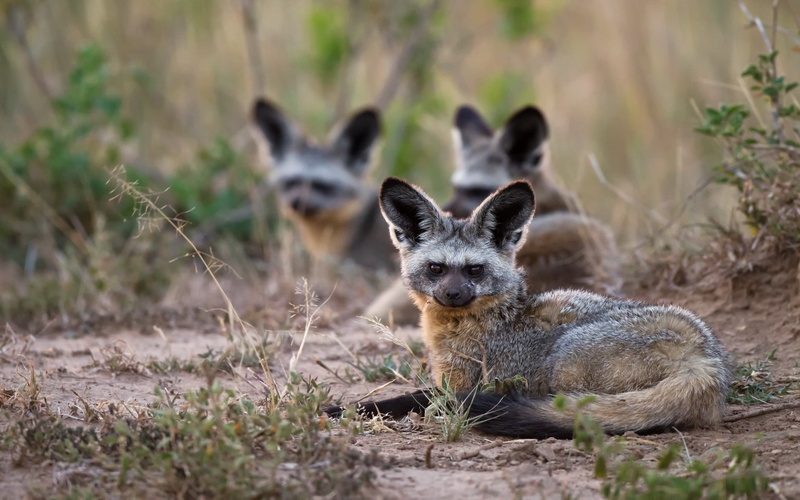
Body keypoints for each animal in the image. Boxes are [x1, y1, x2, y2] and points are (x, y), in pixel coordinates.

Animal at [325, 178, 730, 439]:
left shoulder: (466, 384)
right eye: (436, 269)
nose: (453, 294)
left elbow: (410, 398)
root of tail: (703, 358)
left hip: (564, 361)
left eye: (474, 270)